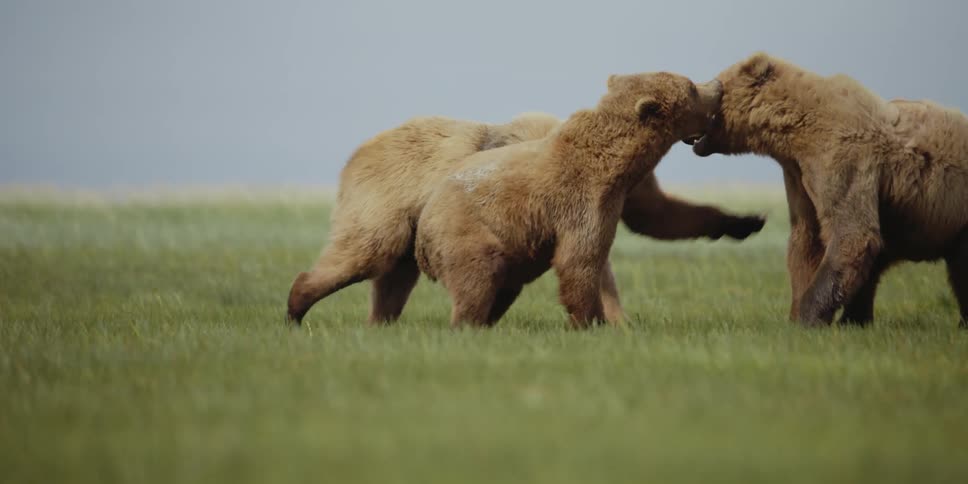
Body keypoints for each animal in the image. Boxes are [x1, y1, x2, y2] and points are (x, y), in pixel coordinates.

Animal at [287, 107, 764, 327]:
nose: (703, 134)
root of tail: (357, 152)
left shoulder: (625, 193)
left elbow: (660, 217)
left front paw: (745, 222)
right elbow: (594, 260)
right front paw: (611, 318)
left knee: (393, 278)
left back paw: (379, 321)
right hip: (388, 201)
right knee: (365, 253)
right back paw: (298, 304)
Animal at [414, 72, 726, 328]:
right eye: (691, 86)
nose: (718, 84)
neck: (616, 165)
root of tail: (421, 236)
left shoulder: (620, 194)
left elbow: (658, 216)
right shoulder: (580, 199)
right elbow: (579, 259)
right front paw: (592, 321)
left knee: (503, 287)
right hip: (468, 234)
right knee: (477, 281)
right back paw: (469, 323)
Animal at [689, 52, 968, 327]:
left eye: (716, 85)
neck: (796, 131)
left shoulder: (841, 159)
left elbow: (850, 233)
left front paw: (807, 318)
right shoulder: (799, 176)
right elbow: (807, 238)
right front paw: (796, 314)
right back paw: (855, 319)